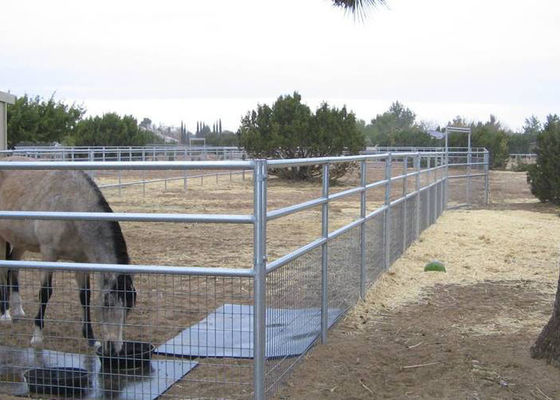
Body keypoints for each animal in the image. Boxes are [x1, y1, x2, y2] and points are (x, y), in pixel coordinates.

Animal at [0, 159, 137, 354]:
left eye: (129, 307)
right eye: (107, 303)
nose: (114, 348)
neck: (71, 205)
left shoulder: (82, 260)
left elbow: (85, 296)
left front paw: (91, 339)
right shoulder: (49, 254)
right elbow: (45, 292)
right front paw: (37, 337)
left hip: (20, 241)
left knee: (13, 267)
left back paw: (18, 310)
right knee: (4, 270)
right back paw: (5, 314)